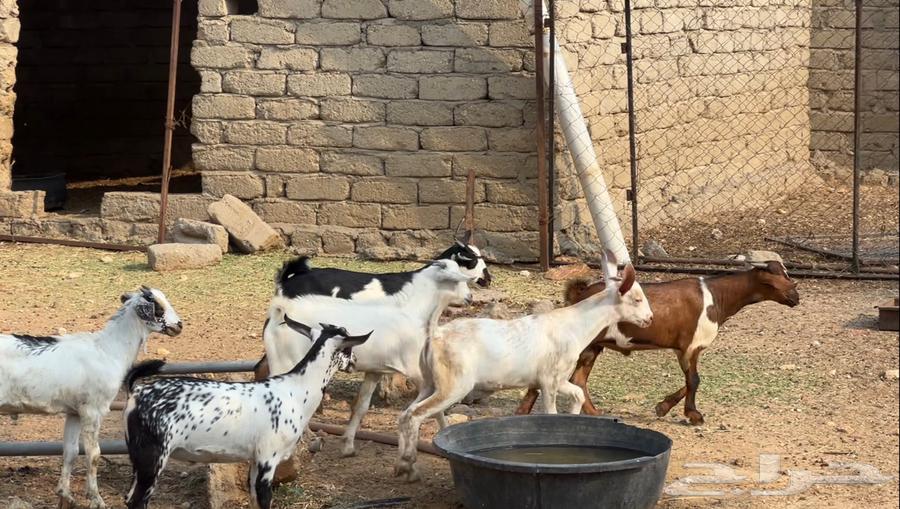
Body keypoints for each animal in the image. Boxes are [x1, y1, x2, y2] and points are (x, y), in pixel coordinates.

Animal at [0, 287, 182, 509]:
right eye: (158, 307)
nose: (179, 325)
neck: (108, 350)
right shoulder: (93, 410)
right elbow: (93, 454)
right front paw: (97, 499)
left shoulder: (75, 412)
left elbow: (70, 451)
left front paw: (66, 494)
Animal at [123, 316, 371, 509]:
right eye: (348, 348)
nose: (355, 362)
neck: (296, 390)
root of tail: (136, 392)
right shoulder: (267, 460)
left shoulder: (254, 461)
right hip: (152, 457)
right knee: (137, 501)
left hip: (138, 461)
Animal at [265, 259, 473, 458]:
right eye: (456, 280)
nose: (470, 297)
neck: (412, 310)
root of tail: (279, 310)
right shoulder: (416, 370)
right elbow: (435, 407)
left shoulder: (375, 370)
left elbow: (361, 406)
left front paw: (347, 446)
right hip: (288, 362)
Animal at [394, 251, 653, 481]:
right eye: (637, 299)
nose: (650, 319)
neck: (574, 325)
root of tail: (436, 334)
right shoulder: (549, 381)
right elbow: (551, 413)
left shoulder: (558, 379)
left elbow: (578, 394)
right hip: (454, 384)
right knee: (416, 414)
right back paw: (409, 466)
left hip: (430, 383)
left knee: (406, 414)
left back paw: (403, 467)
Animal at [515, 260, 800, 425]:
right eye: (783, 279)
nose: (796, 297)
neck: (717, 296)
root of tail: (579, 293)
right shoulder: (692, 345)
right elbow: (695, 380)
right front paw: (694, 415)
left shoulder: (683, 348)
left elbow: (690, 380)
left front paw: (662, 407)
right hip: (584, 345)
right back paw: (523, 413)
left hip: (593, 346)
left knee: (579, 379)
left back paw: (595, 415)